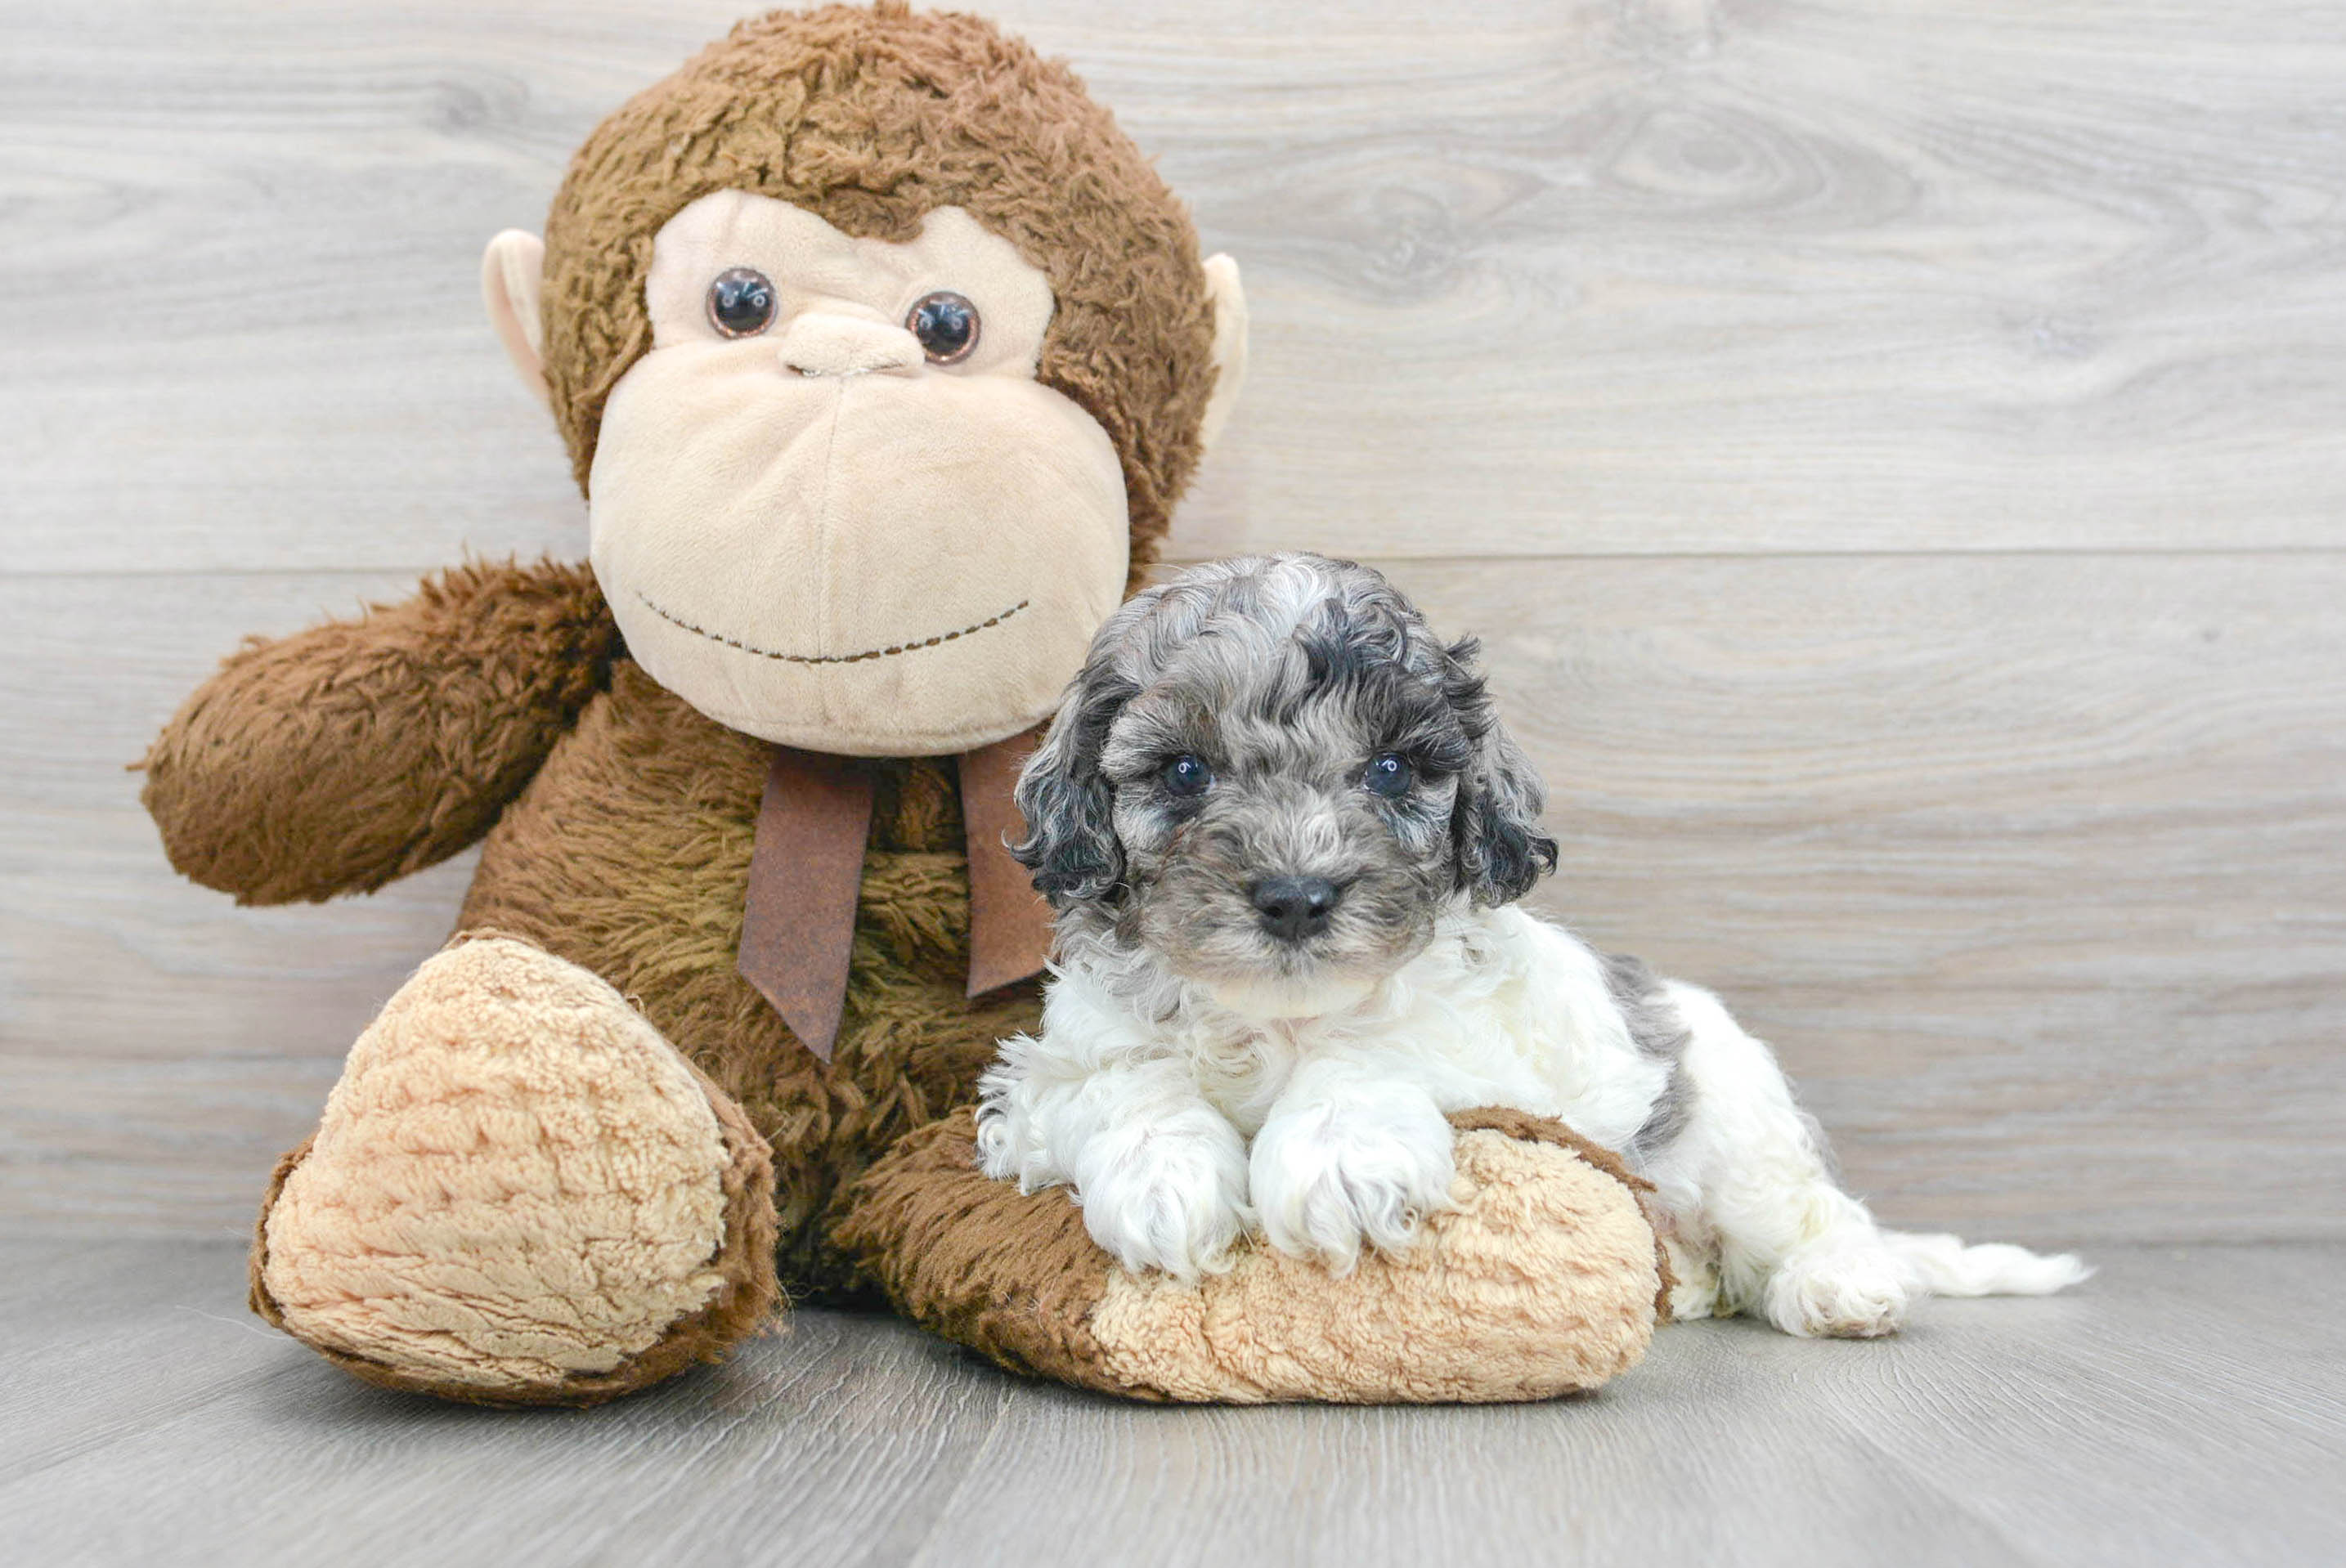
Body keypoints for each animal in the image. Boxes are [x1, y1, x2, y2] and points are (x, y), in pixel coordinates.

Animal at [971, 550, 2093, 1331]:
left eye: (1390, 769)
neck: (1277, 1019)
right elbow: (1123, 1079)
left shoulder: (1488, 1046)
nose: (1295, 897)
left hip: (1738, 1140)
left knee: (1816, 1216)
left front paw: (1338, 1157)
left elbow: (1376, 1050)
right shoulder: (1043, 1073)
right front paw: (1164, 1183)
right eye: (1184, 771)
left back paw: (1840, 1287)